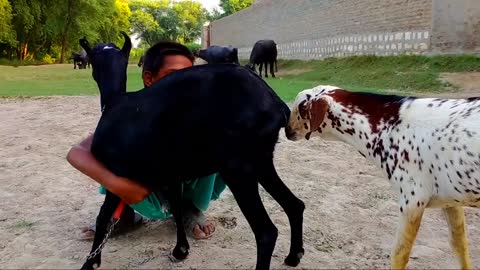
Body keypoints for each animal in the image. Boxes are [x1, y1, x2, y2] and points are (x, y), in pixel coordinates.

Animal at [77, 33, 306, 270]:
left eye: (91, 58)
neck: (113, 102)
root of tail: (276, 104)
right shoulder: (170, 174)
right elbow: (177, 207)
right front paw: (181, 249)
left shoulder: (115, 174)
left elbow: (104, 216)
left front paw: (91, 262)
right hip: (260, 160)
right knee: (295, 205)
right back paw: (293, 256)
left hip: (238, 167)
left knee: (266, 232)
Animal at [284, 85, 478, 268]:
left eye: (300, 106)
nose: (287, 130)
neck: (389, 126)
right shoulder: (451, 203)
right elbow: (460, 245)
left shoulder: (412, 202)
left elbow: (399, 255)